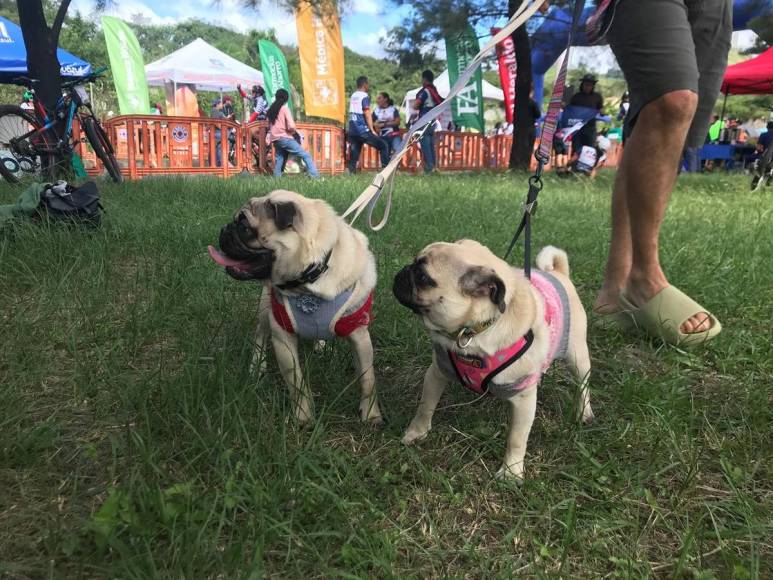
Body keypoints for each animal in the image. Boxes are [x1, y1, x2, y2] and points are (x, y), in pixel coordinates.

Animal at [210, 189, 382, 422]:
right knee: (259, 337)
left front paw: (371, 414)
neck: (307, 285)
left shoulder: (359, 335)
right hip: (265, 309)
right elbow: (296, 381)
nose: (225, 229)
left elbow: (368, 379)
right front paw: (303, 417)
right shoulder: (282, 336)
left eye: (244, 227)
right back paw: (257, 367)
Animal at [396, 240, 596, 480]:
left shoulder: (523, 398)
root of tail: (558, 273)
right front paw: (416, 433)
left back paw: (584, 412)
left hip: (577, 355)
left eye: (423, 277)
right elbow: (425, 407)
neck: (472, 332)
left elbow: (516, 439)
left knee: (583, 385)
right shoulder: (437, 372)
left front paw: (511, 472)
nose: (404, 270)